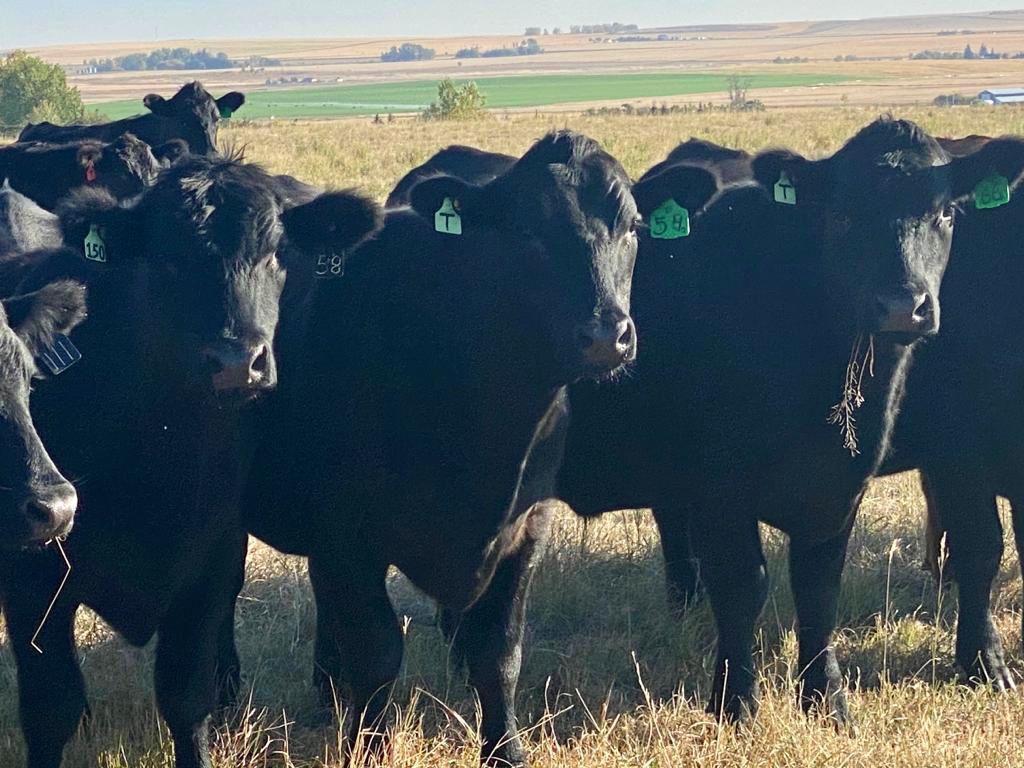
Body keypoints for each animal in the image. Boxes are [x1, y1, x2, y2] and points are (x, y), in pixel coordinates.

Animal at [240, 131, 640, 767]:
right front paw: (369, 747)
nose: (608, 334)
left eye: (633, 227)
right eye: (526, 229)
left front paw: (506, 751)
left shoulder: (525, 530)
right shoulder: (348, 538)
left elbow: (498, 654)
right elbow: (377, 652)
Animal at [555, 117, 1024, 725]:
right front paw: (734, 703)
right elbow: (743, 585)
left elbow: (818, 587)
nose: (905, 305)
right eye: (842, 215)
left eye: (946, 213)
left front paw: (828, 700)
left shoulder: (840, 486)